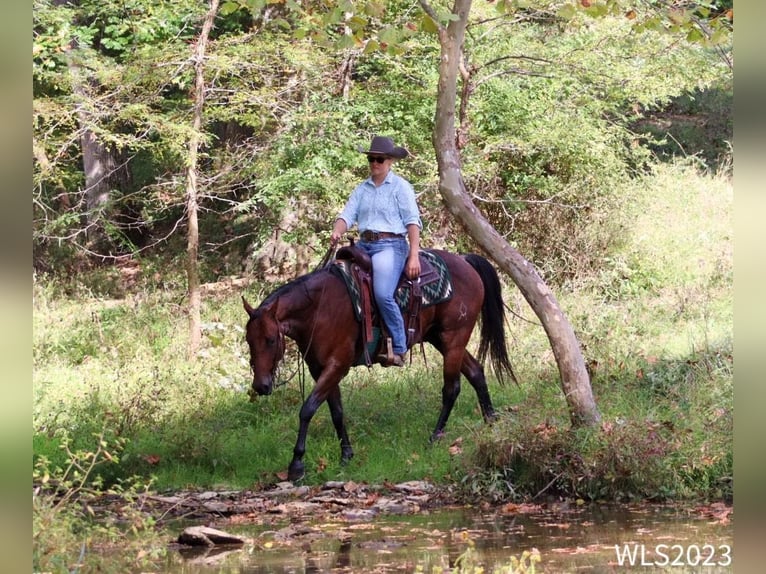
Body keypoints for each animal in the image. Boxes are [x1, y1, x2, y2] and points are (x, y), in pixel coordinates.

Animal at [244, 250, 516, 484]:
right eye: (249, 340)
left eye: (270, 339)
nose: (261, 385)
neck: (319, 308)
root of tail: (465, 261)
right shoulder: (321, 369)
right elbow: (336, 412)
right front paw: (346, 455)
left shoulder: (337, 365)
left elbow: (308, 409)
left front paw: (297, 465)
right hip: (439, 338)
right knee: (476, 372)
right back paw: (492, 422)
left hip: (453, 338)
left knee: (452, 388)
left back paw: (434, 437)